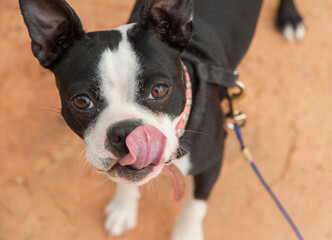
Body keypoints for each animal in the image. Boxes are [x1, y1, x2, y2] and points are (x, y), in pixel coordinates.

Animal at [17, 0, 304, 239]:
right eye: (81, 101)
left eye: (159, 90)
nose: (126, 132)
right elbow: (126, 182)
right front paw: (123, 209)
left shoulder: (213, 160)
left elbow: (196, 203)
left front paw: (187, 234)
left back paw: (290, 18)